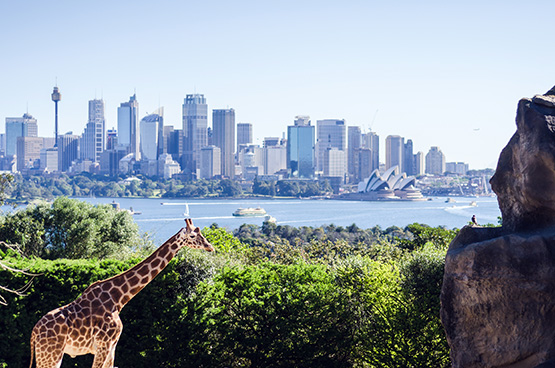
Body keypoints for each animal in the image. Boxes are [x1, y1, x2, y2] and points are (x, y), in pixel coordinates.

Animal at [27, 218, 215, 368]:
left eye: (201, 233)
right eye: (193, 236)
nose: (210, 247)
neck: (119, 298)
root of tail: (33, 333)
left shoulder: (112, 346)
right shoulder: (104, 344)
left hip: (47, 354)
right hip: (51, 354)